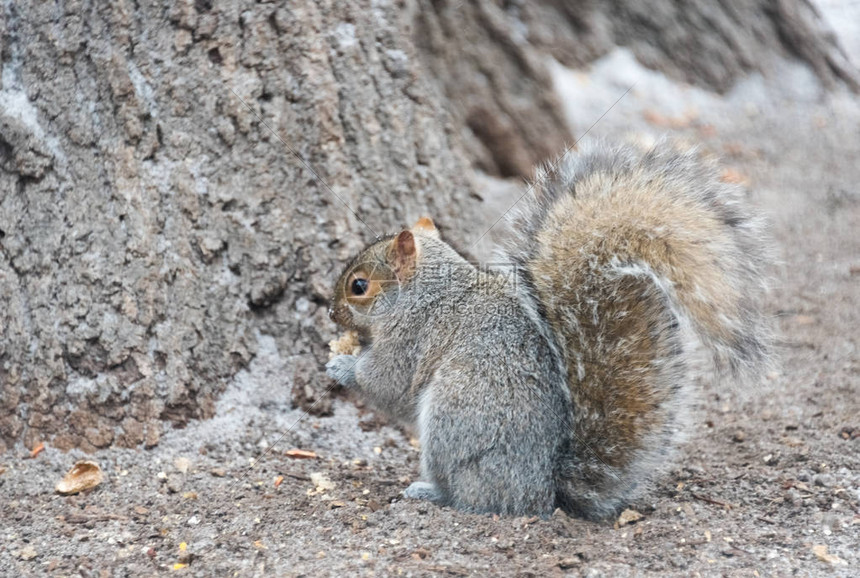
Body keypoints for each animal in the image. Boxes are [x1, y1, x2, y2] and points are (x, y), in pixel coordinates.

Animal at [324, 141, 772, 516]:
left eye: (359, 286)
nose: (331, 314)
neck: (423, 293)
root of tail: (544, 490)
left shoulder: (411, 338)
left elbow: (389, 385)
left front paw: (342, 367)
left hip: (455, 420)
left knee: (475, 495)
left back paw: (432, 492)